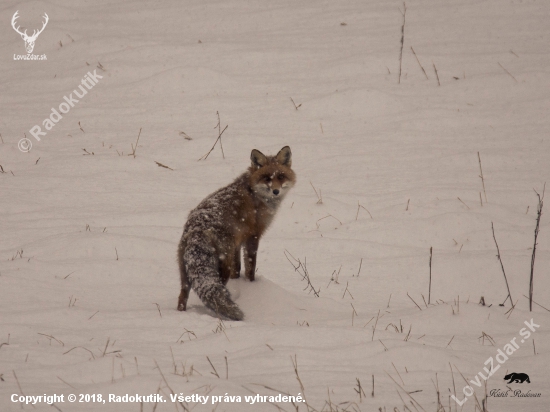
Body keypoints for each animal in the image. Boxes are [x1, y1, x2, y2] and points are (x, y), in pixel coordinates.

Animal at [178, 146, 298, 320]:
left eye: (281, 176)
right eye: (267, 178)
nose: (275, 191)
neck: (254, 192)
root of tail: (197, 228)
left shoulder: (237, 242)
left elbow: (238, 268)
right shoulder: (253, 237)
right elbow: (250, 267)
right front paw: (251, 285)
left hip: (185, 272)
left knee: (182, 296)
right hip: (222, 266)